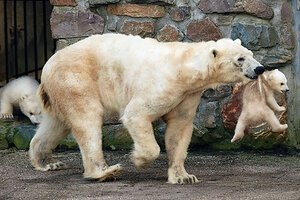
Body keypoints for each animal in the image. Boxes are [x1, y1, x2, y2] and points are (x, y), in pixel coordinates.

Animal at [29, 33, 264, 184]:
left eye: (251, 53)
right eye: (240, 58)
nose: (260, 69)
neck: (184, 68)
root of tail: (47, 67)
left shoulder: (187, 95)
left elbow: (179, 129)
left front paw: (184, 177)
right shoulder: (163, 86)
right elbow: (136, 114)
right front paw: (139, 160)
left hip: (60, 91)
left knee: (56, 124)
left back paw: (47, 162)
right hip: (75, 79)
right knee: (87, 119)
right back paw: (104, 171)